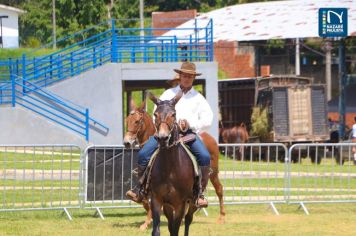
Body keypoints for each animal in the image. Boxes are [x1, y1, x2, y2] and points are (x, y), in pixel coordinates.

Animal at [148, 91, 196, 236]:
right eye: (155, 114)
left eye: (173, 114)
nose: (162, 138)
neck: (170, 169)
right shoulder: (157, 200)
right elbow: (157, 230)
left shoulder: (180, 204)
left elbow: (176, 230)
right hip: (168, 206)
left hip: (192, 203)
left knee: (188, 219)